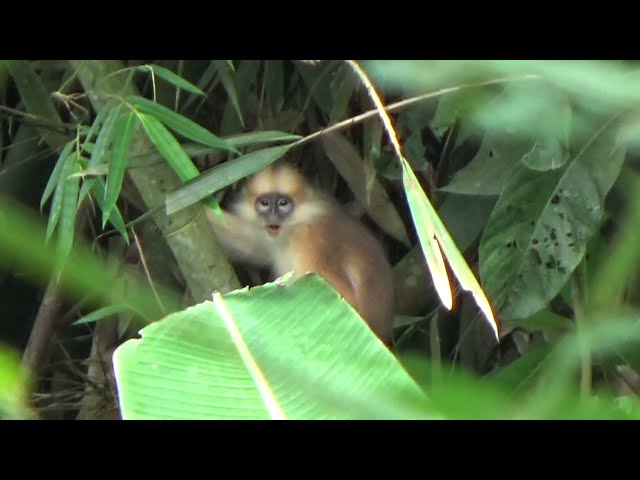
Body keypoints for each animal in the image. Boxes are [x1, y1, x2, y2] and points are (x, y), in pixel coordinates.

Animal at [205, 162, 396, 344]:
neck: (294, 227)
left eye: (283, 203)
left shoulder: (310, 240)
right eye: (265, 203)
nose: (273, 215)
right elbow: (249, 246)